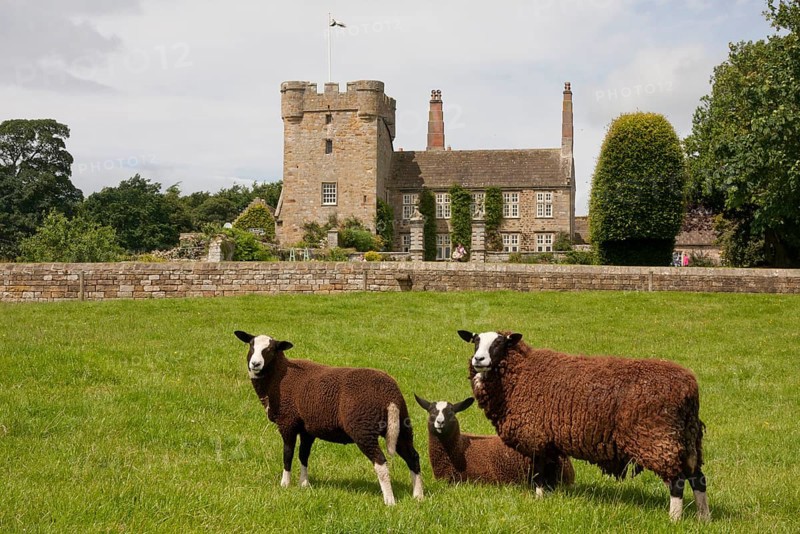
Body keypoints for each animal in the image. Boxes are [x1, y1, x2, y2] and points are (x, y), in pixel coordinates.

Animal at [234, 330, 424, 505]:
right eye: (251, 345)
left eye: (271, 349)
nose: (255, 364)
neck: (279, 376)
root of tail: (390, 395)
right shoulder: (307, 428)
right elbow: (304, 454)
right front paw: (304, 484)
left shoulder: (287, 422)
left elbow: (287, 453)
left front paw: (285, 484)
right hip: (402, 426)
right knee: (413, 456)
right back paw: (418, 496)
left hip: (363, 428)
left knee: (381, 462)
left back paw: (389, 501)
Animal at [458, 330, 710, 522]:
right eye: (475, 341)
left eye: (499, 342)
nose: (478, 360)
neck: (520, 375)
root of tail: (689, 388)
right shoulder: (549, 441)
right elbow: (549, 473)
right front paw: (550, 497)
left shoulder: (536, 436)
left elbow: (538, 473)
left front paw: (538, 500)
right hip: (688, 439)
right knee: (698, 478)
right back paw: (703, 518)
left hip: (658, 439)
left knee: (677, 481)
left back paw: (674, 519)